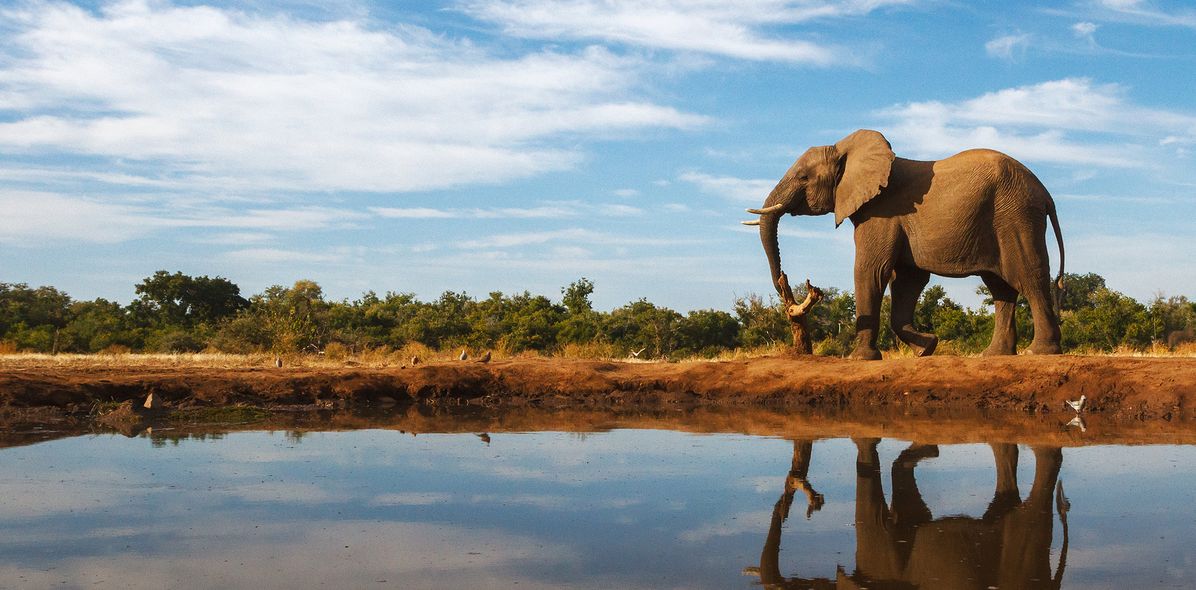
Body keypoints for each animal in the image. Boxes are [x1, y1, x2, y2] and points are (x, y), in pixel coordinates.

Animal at [746, 129, 1066, 359]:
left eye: (803, 177)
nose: (786, 284)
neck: (845, 149)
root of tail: (1045, 193)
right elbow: (907, 280)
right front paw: (927, 348)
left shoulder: (881, 212)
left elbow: (871, 270)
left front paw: (860, 359)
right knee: (1001, 287)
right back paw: (994, 355)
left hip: (1015, 216)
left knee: (1028, 277)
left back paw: (1038, 352)